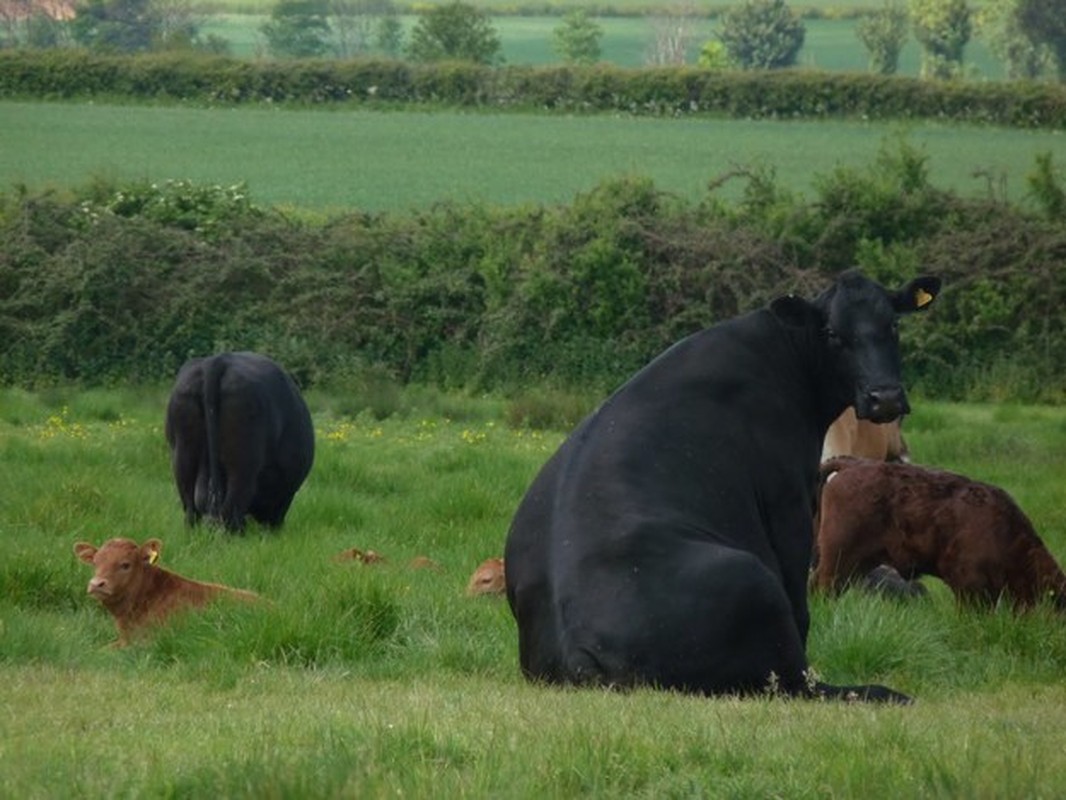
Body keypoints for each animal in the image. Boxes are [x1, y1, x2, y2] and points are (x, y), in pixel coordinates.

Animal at [503, 273, 938, 704]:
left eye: (893, 326)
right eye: (832, 333)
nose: (885, 397)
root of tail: (576, 650)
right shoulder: (789, 497)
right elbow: (800, 598)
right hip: (752, 577)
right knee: (793, 683)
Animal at [810, 460, 1066, 610]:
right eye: (1059, 605)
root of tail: (852, 464)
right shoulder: (969, 585)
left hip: (858, 563)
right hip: (840, 559)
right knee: (823, 586)